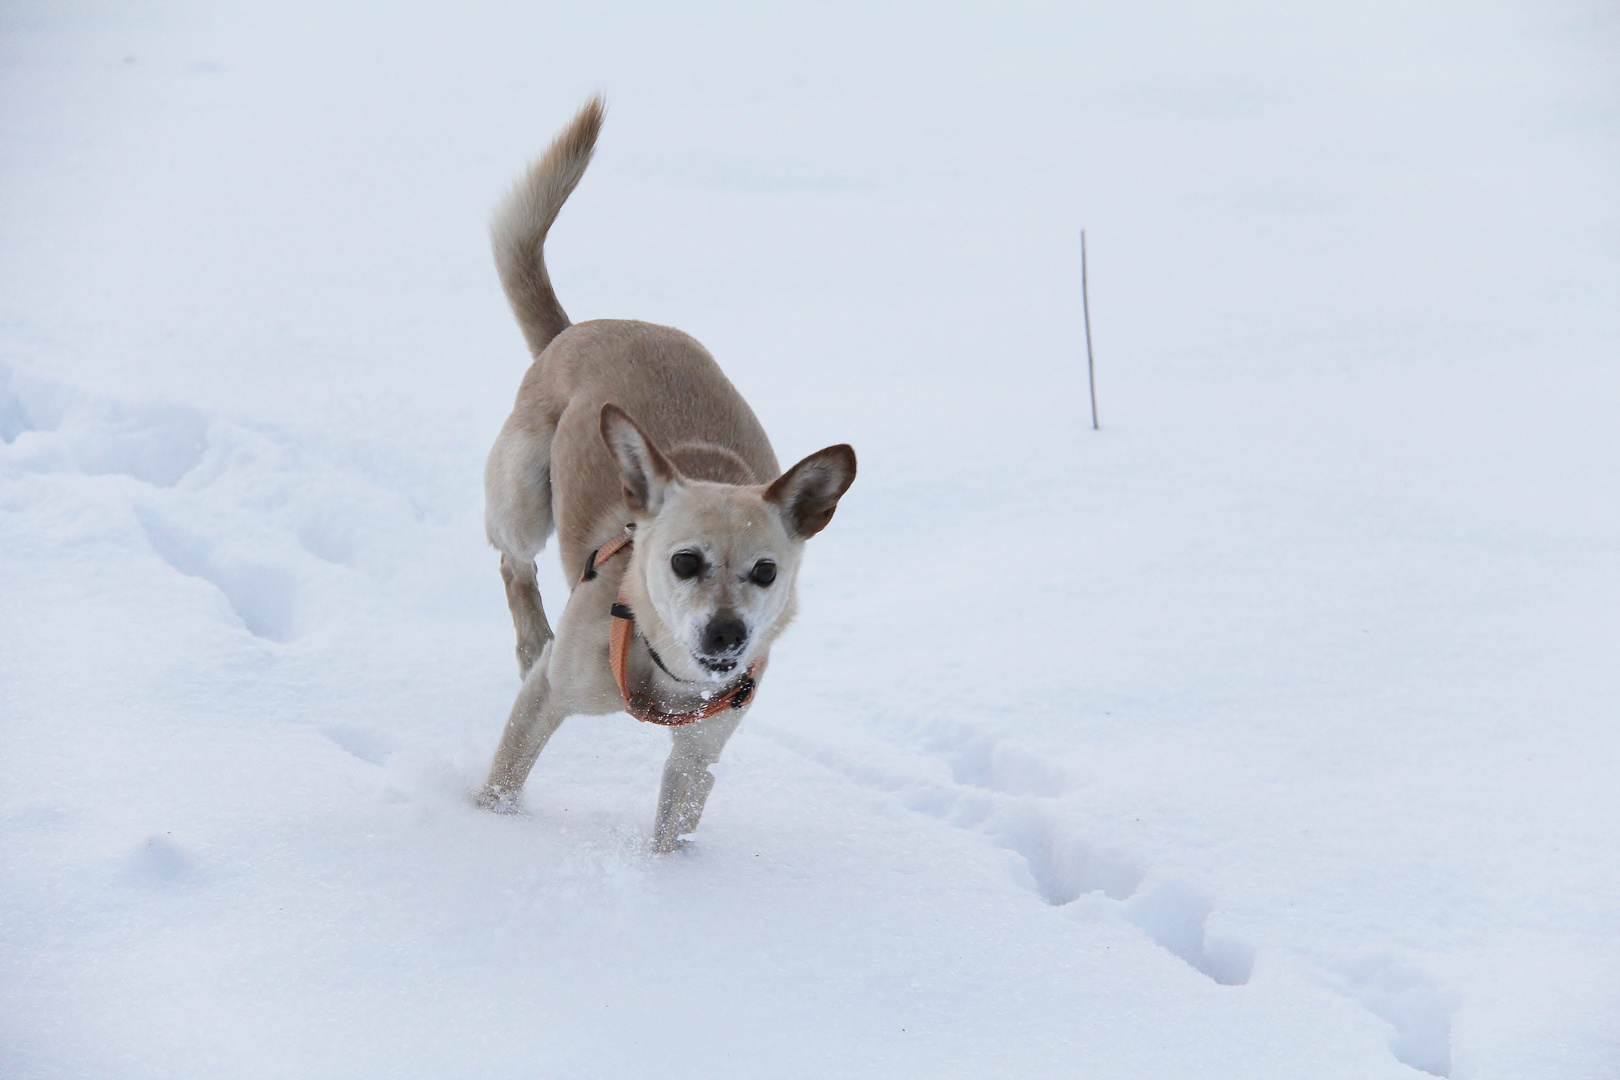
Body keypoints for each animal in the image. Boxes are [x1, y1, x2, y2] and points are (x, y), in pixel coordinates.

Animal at [473, 97, 855, 854]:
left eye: (766, 571)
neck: (671, 674)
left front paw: (667, 882)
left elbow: (673, 828)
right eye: (684, 562)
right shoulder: (548, 697)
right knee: (511, 561)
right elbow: (503, 781)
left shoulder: (700, 756)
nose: (728, 636)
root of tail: (575, 327)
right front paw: (478, 830)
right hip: (522, 494)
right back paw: (532, 635)